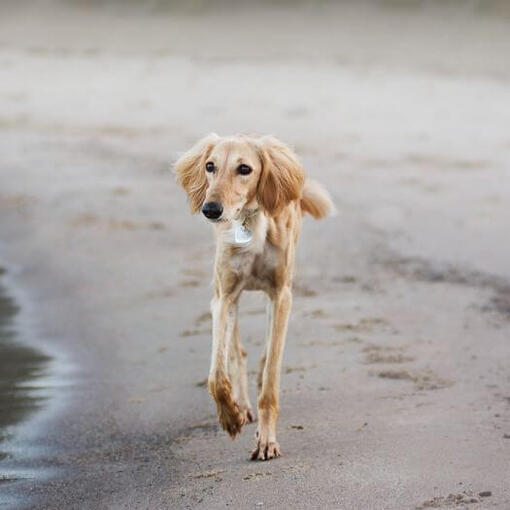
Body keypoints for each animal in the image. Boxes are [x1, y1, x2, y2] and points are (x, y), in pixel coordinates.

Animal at [175, 133, 334, 460]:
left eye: (244, 169)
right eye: (210, 166)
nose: (211, 209)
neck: (250, 222)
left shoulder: (281, 295)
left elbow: (271, 378)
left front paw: (266, 440)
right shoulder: (222, 297)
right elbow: (216, 375)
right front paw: (230, 416)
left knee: (263, 355)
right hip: (231, 299)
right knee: (237, 351)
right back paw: (241, 405)